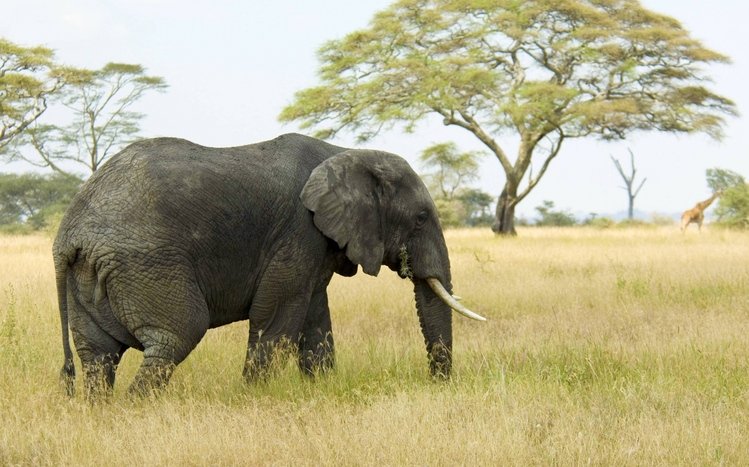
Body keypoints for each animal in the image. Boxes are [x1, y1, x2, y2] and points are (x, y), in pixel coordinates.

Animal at [53, 133, 485, 398]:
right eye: (420, 218)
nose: (437, 384)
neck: (345, 152)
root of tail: (69, 233)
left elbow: (314, 317)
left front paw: (320, 390)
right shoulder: (298, 230)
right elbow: (276, 315)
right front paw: (253, 396)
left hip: (91, 274)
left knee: (98, 356)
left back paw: (103, 412)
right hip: (146, 262)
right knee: (176, 336)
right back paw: (137, 409)